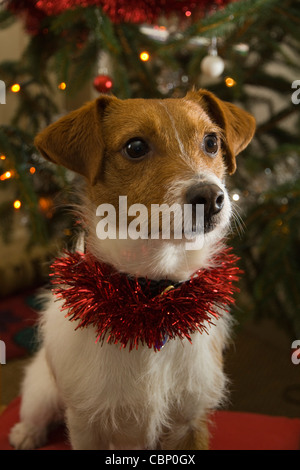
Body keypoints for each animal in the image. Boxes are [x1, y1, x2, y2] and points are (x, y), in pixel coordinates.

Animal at [8, 88, 255, 452]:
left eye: (211, 142)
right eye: (135, 147)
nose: (211, 198)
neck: (149, 298)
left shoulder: (189, 420)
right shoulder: (87, 425)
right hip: (43, 387)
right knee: (37, 408)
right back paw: (26, 432)